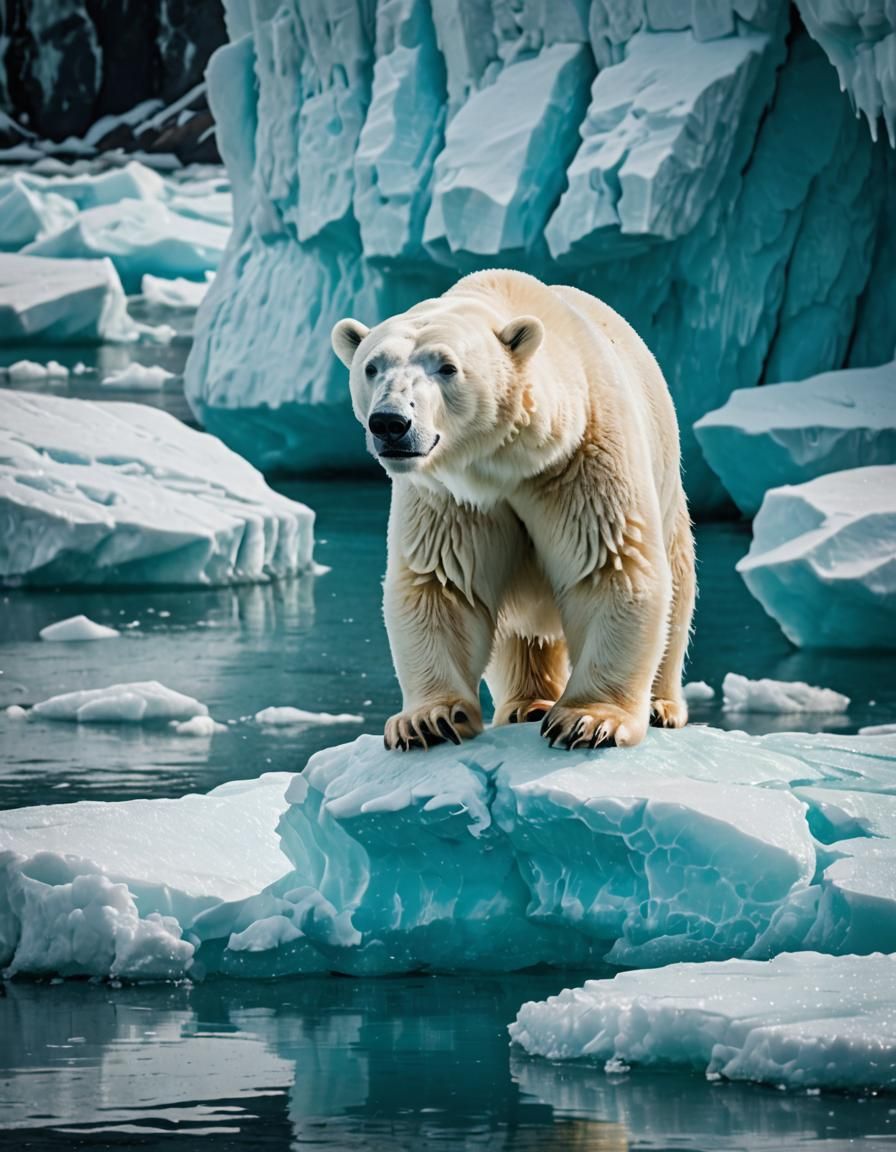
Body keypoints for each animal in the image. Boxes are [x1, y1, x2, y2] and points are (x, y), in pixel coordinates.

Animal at [331, 269, 695, 751]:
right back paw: (528, 704)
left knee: (677, 586)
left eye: (447, 367)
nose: (390, 423)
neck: (509, 462)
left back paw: (660, 706)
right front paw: (429, 720)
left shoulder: (582, 457)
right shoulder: (449, 496)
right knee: (522, 632)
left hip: (667, 481)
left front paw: (589, 721)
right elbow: (443, 585)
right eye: (372, 367)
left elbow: (609, 565)